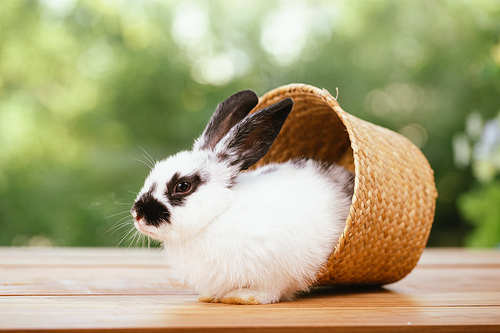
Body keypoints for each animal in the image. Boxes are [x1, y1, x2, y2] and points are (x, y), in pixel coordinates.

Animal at [131, 89, 354, 304]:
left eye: (183, 186)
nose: (136, 214)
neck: (218, 213)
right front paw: (209, 297)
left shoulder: (276, 270)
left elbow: (269, 292)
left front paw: (242, 297)